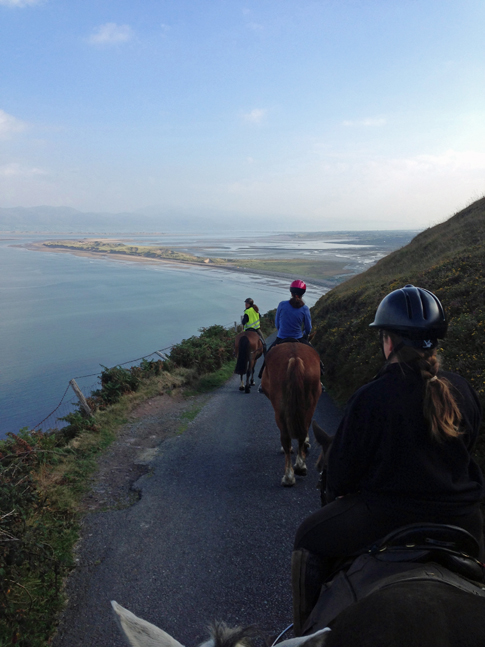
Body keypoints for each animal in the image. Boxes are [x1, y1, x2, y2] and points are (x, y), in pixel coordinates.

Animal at [260, 344, 322, 486]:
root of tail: (295, 358)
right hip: (310, 403)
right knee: (302, 432)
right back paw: (300, 467)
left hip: (280, 410)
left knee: (286, 438)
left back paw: (289, 476)